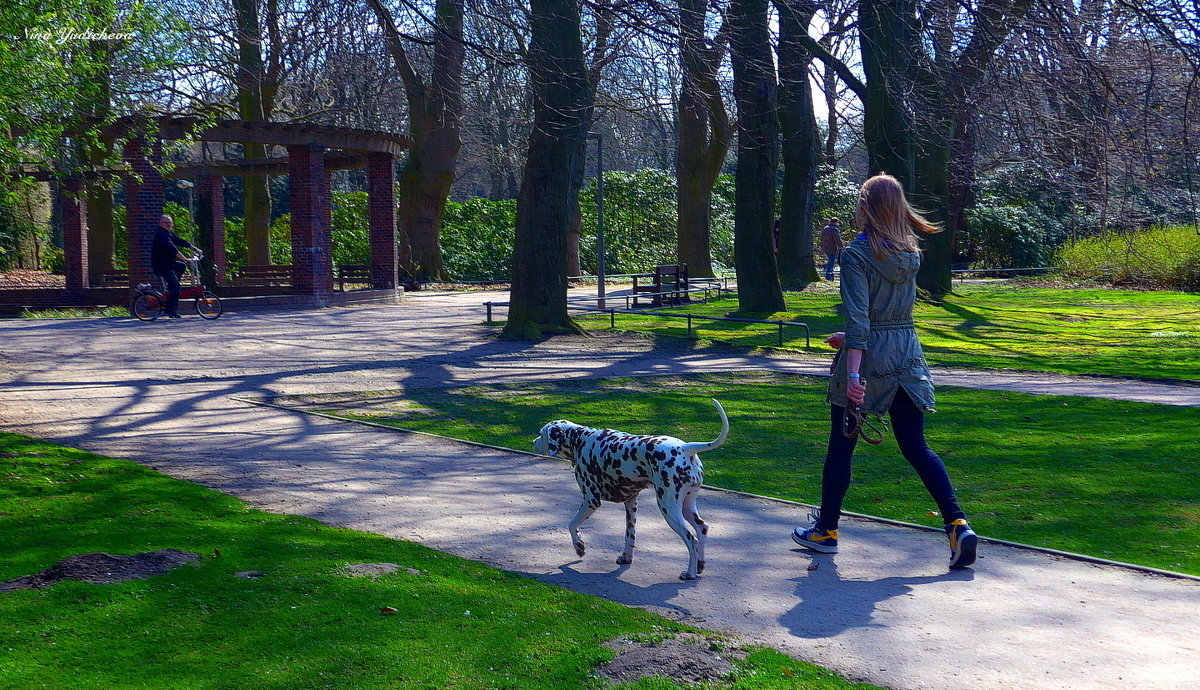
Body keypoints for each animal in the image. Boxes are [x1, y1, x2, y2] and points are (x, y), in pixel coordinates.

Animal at [535, 398, 729, 583]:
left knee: (691, 539)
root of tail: (685, 448)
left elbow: (572, 524)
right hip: (687, 506)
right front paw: (626, 557)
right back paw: (699, 566)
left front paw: (579, 546)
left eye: (541, 434)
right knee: (702, 529)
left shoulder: (591, 501)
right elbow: (630, 536)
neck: (580, 440)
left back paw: (690, 573)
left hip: (669, 509)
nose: (533, 442)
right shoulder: (631, 502)